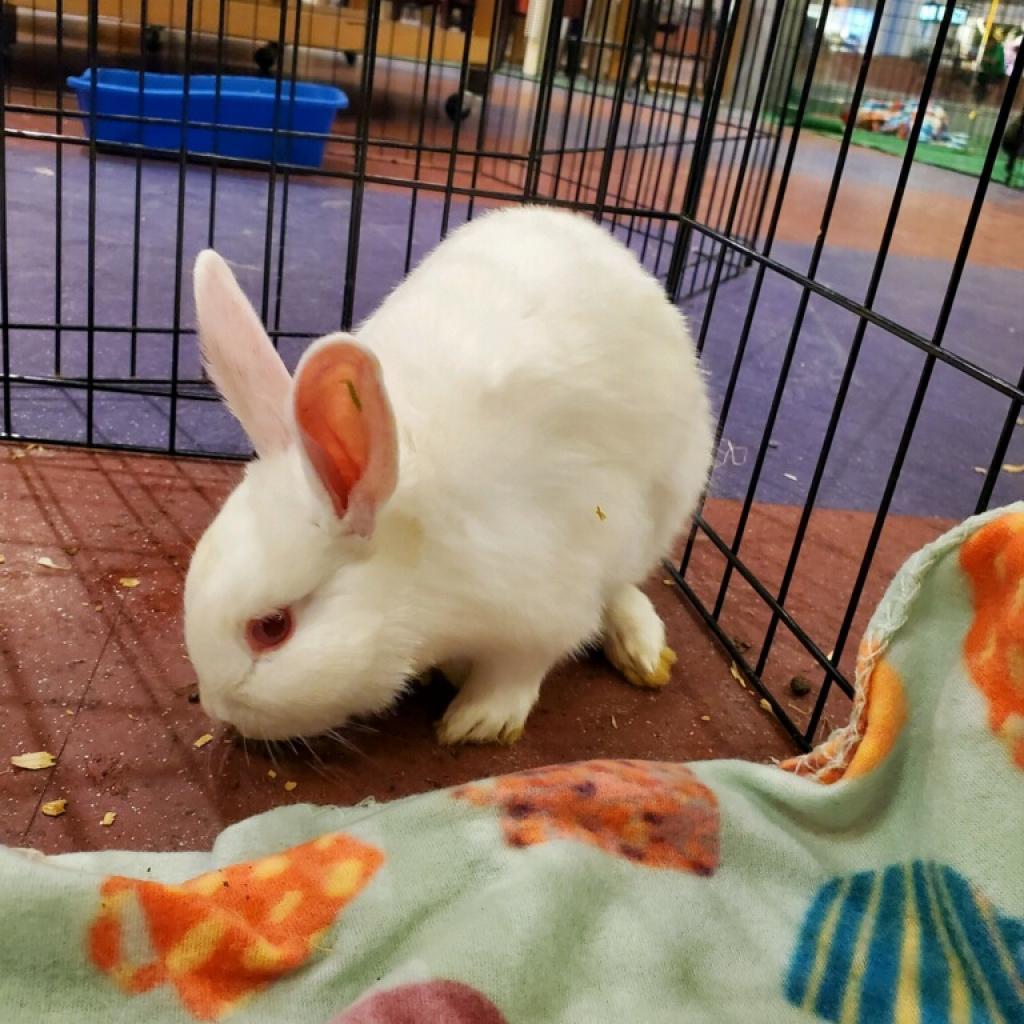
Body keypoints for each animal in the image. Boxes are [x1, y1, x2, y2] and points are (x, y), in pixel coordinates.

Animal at [184, 205, 714, 745]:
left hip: (666, 504)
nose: (216, 706)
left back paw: (641, 648)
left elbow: (522, 666)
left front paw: (478, 720)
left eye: (272, 627)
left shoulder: (550, 596)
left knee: (625, 584)